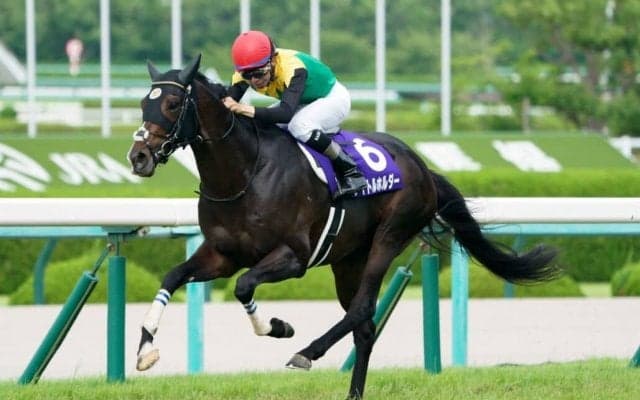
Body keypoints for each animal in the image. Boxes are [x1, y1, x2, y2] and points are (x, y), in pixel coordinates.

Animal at [127, 54, 560, 399]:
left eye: (172, 103)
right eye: (143, 103)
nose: (138, 156)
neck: (245, 173)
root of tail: (421, 165)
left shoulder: (293, 257)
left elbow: (244, 286)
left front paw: (279, 327)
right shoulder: (222, 255)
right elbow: (173, 276)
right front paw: (145, 350)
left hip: (390, 235)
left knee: (364, 308)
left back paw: (306, 352)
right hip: (348, 259)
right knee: (364, 326)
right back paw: (351, 392)